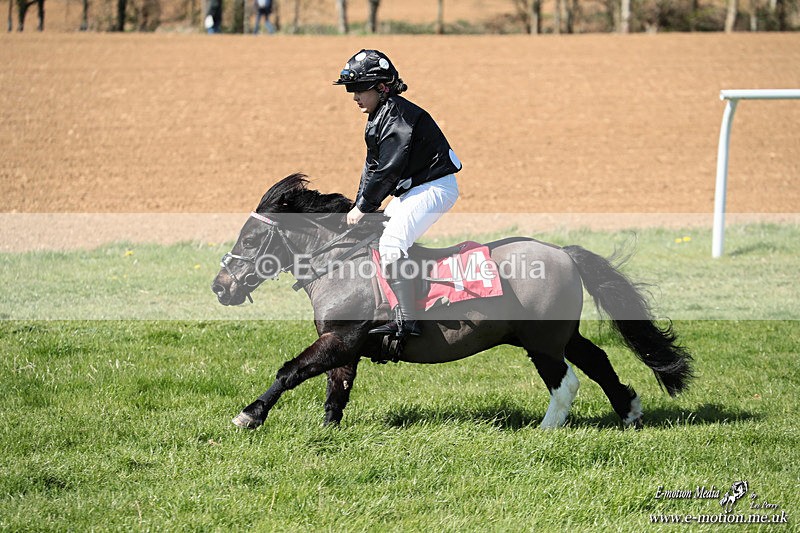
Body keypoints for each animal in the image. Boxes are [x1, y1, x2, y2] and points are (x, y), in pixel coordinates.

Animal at [212, 174, 693, 430]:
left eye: (251, 239)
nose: (220, 287)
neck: (340, 263)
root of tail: (562, 252)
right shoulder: (342, 345)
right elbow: (337, 390)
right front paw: (328, 431)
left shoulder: (341, 339)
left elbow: (290, 371)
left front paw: (249, 415)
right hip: (560, 334)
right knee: (597, 361)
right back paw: (628, 411)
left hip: (541, 341)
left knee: (566, 380)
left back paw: (547, 428)